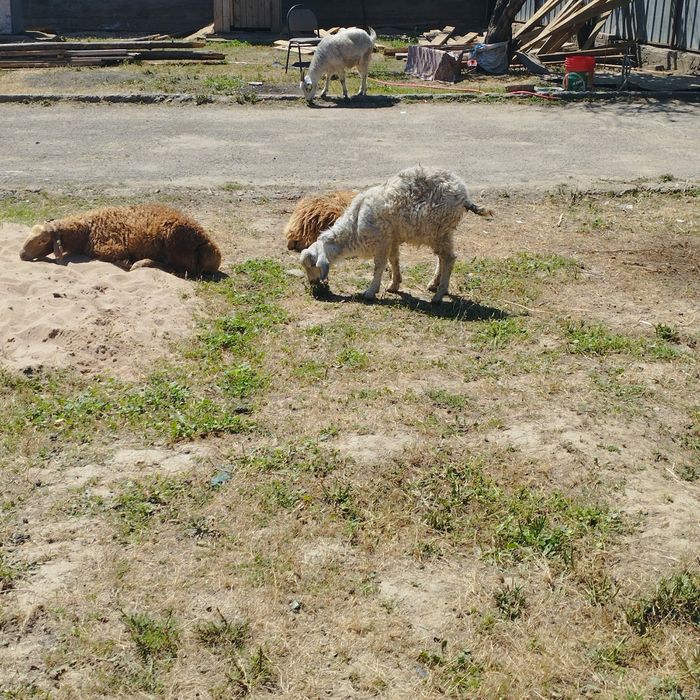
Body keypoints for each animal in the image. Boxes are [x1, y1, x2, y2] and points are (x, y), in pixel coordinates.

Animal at [19, 203, 221, 275]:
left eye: (41, 241)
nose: (21, 255)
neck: (86, 228)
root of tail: (212, 248)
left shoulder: (112, 248)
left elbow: (120, 260)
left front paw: (128, 263)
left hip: (175, 243)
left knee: (178, 269)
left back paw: (141, 263)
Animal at [299, 166, 493, 304]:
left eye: (311, 265)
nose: (313, 284)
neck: (354, 226)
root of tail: (464, 196)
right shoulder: (392, 239)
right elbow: (394, 260)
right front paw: (394, 284)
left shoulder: (381, 241)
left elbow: (379, 265)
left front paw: (371, 291)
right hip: (442, 232)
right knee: (443, 258)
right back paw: (435, 284)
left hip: (439, 229)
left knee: (449, 259)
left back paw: (438, 296)